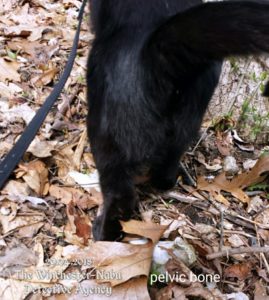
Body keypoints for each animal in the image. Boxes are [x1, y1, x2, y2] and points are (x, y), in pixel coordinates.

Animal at [86, 0, 268, 240]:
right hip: (189, 117)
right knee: (170, 158)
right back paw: (165, 181)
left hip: (106, 132)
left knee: (119, 194)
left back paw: (104, 231)